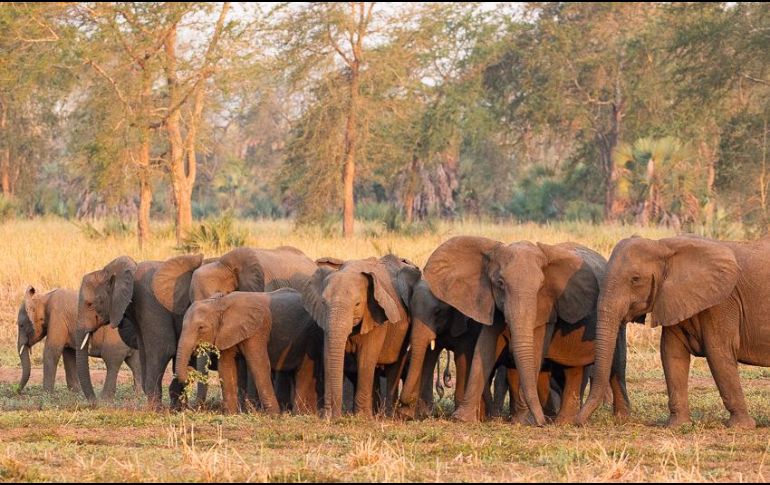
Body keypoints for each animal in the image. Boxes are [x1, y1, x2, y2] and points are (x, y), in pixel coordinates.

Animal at [76, 254, 204, 407]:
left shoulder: (150, 302)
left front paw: (157, 410)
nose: (94, 403)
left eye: (89, 304)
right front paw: (173, 408)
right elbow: (144, 353)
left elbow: (163, 350)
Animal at [175, 289, 323, 414]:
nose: (190, 369)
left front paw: (274, 415)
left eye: (201, 327)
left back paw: (299, 414)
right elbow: (226, 367)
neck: (220, 303)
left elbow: (259, 365)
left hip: (310, 337)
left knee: (304, 371)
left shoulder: (257, 330)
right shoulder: (227, 332)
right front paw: (231, 415)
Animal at [303, 255, 422, 418]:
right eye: (323, 302)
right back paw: (376, 414)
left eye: (357, 304)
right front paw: (328, 417)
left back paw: (387, 416)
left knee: (394, 367)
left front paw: (361, 418)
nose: (335, 416)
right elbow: (327, 356)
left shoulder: (377, 315)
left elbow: (366, 358)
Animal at [424, 236, 630, 425]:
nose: (541, 423)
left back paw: (563, 421)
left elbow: (535, 350)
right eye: (500, 283)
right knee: (573, 368)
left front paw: (524, 422)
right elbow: (484, 350)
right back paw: (561, 421)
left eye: (540, 286)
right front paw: (462, 419)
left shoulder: (546, 309)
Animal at [577, 235, 770, 429]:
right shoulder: (673, 298)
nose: (577, 422)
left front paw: (740, 426)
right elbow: (672, 353)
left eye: (635, 279)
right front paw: (678, 425)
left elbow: (718, 353)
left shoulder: (721, 303)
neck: (663, 247)